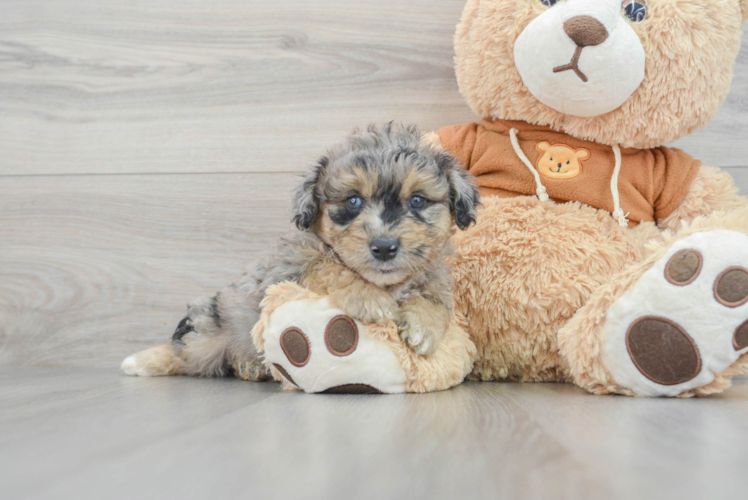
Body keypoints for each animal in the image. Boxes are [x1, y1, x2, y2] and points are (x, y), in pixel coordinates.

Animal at [120, 124, 476, 378]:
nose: (384, 247)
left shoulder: (431, 271)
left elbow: (434, 297)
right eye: (353, 201)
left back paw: (250, 367)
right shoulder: (287, 270)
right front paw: (369, 298)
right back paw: (141, 361)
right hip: (207, 329)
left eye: (417, 200)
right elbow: (330, 266)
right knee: (184, 352)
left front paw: (425, 326)